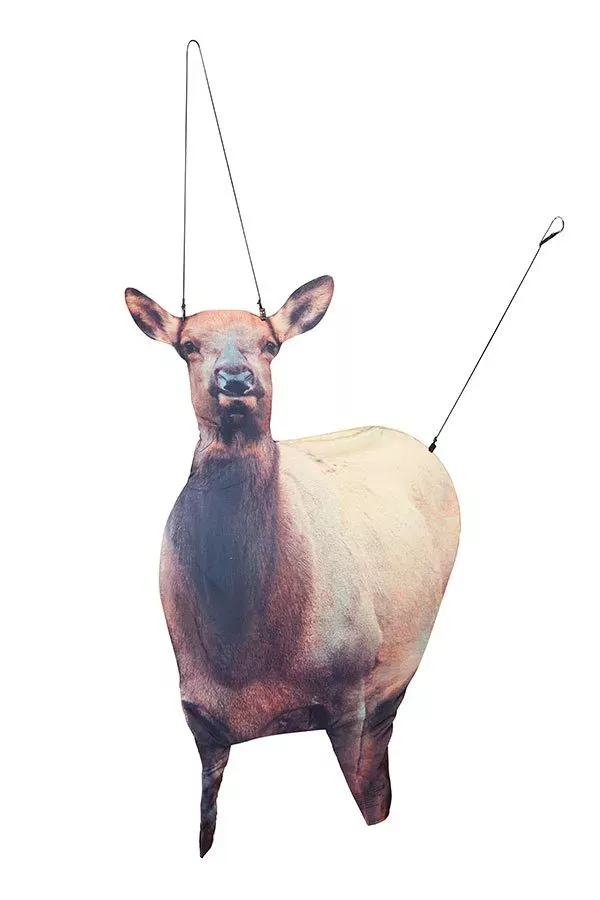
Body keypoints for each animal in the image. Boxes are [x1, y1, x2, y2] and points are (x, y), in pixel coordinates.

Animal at [125, 274, 460, 856]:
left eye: (270, 344)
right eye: (187, 346)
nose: (236, 381)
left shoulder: (350, 693)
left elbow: (367, 805)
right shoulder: (200, 719)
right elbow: (204, 832)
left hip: (389, 674)